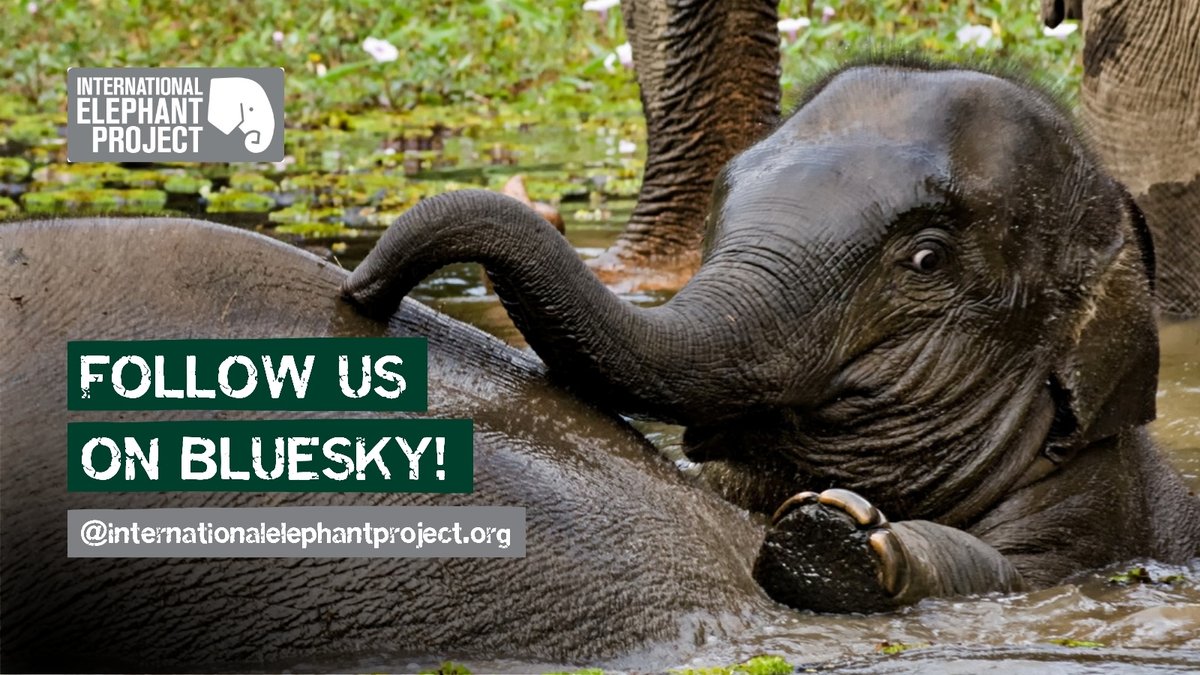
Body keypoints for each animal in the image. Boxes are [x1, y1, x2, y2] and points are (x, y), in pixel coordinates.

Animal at [343, 56, 1200, 613]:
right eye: (720, 214)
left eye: (926, 258)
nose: (362, 288)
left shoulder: (1095, 509)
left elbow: (1012, 574)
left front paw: (835, 532)